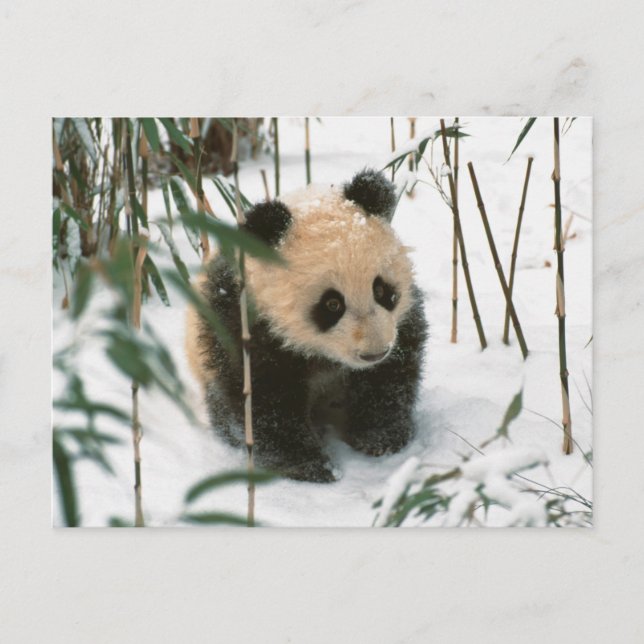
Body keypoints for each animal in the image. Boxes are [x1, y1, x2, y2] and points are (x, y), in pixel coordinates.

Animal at [185, 169, 428, 483]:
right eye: (332, 304)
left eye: (382, 290)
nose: (373, 353)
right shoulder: (243, 325)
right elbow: (263, 400)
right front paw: (309, 465)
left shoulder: (401, 324)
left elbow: (390, 377)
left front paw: (381, 437)